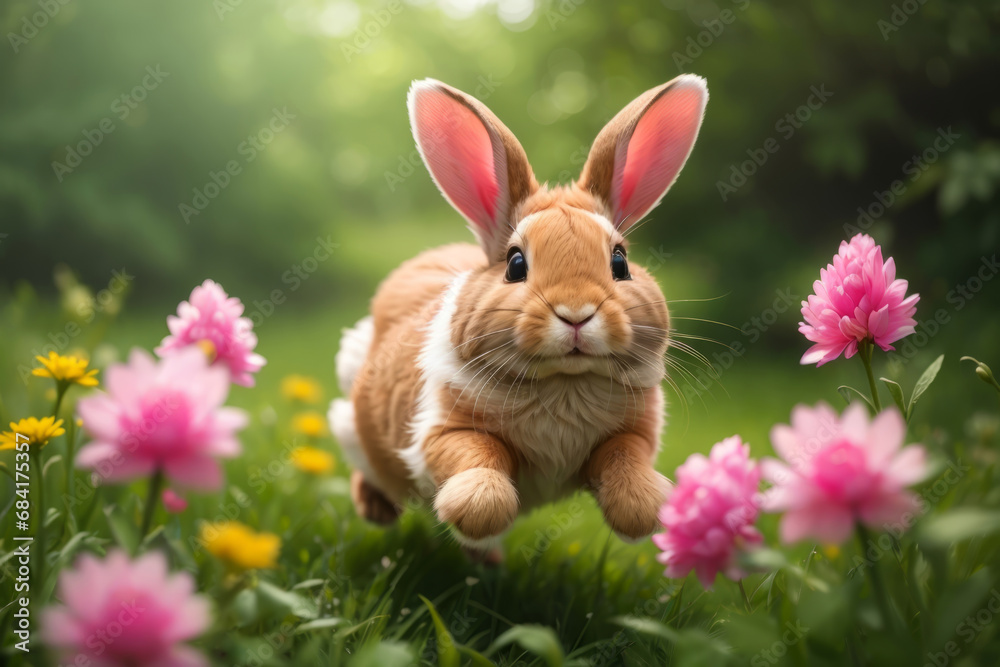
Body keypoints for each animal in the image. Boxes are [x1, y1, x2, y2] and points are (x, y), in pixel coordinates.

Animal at [328, 74, 709, 552]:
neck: (564, 382)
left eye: (620, 262)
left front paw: (642, 512)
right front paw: (476, 509)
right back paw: (378, 511)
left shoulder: (633, 432)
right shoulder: (443, 430)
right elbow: (476, 457)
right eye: (515, 264)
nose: (576, 314)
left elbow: (626, 460)